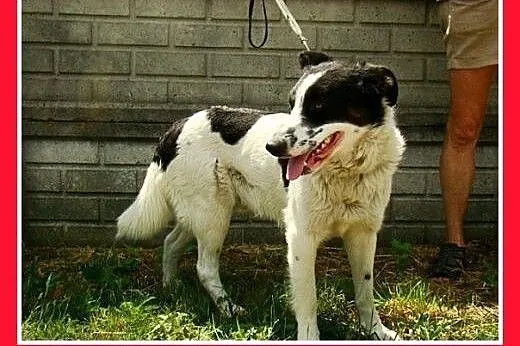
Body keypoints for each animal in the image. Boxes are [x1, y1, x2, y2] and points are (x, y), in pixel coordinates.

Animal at [118, 51, 406, 340]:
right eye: (292, 104)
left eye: (318, 106)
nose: (272, 147)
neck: (346, 173)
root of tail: (176, 126)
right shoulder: (301, 237)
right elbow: (308, 298)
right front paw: (310, 336)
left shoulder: (363, 233)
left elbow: (365, 290)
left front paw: (375, 331)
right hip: (213, 215)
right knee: (204, 267)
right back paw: (229, 309)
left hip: (200, 212)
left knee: (170, 241)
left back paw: (172, 287)